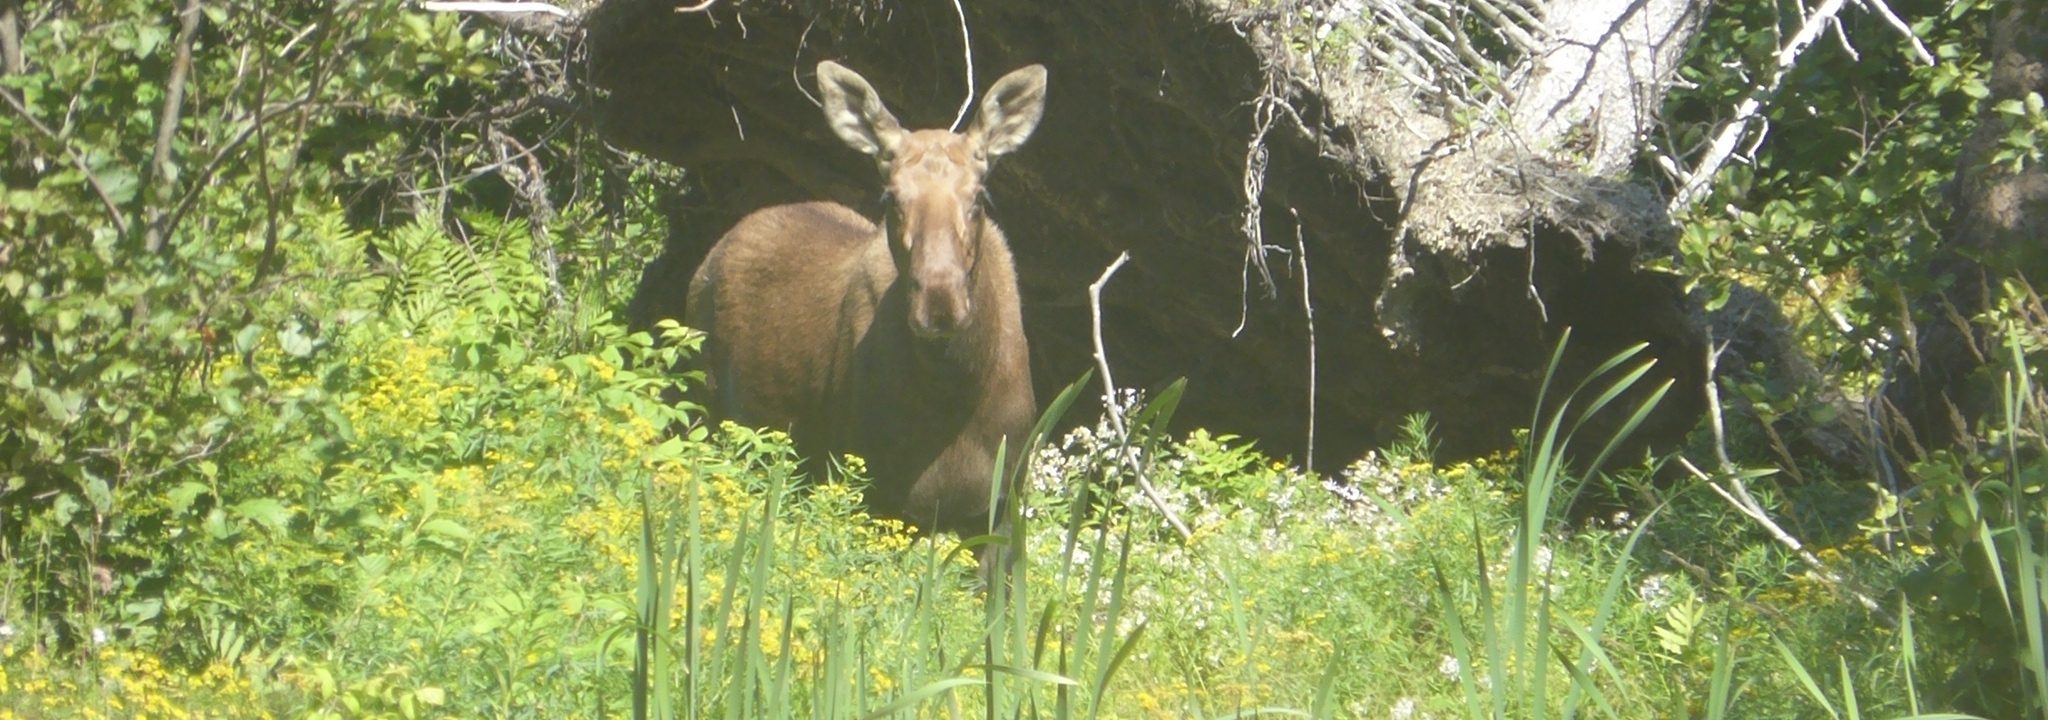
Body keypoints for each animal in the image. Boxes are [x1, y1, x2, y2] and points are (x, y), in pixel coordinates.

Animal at [684, 60, 1048, 544]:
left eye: (979, 196)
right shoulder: (882, 496)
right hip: (709, 408)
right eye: (891, 197)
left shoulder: (1002, 505)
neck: (954, 390)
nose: (940, 304)